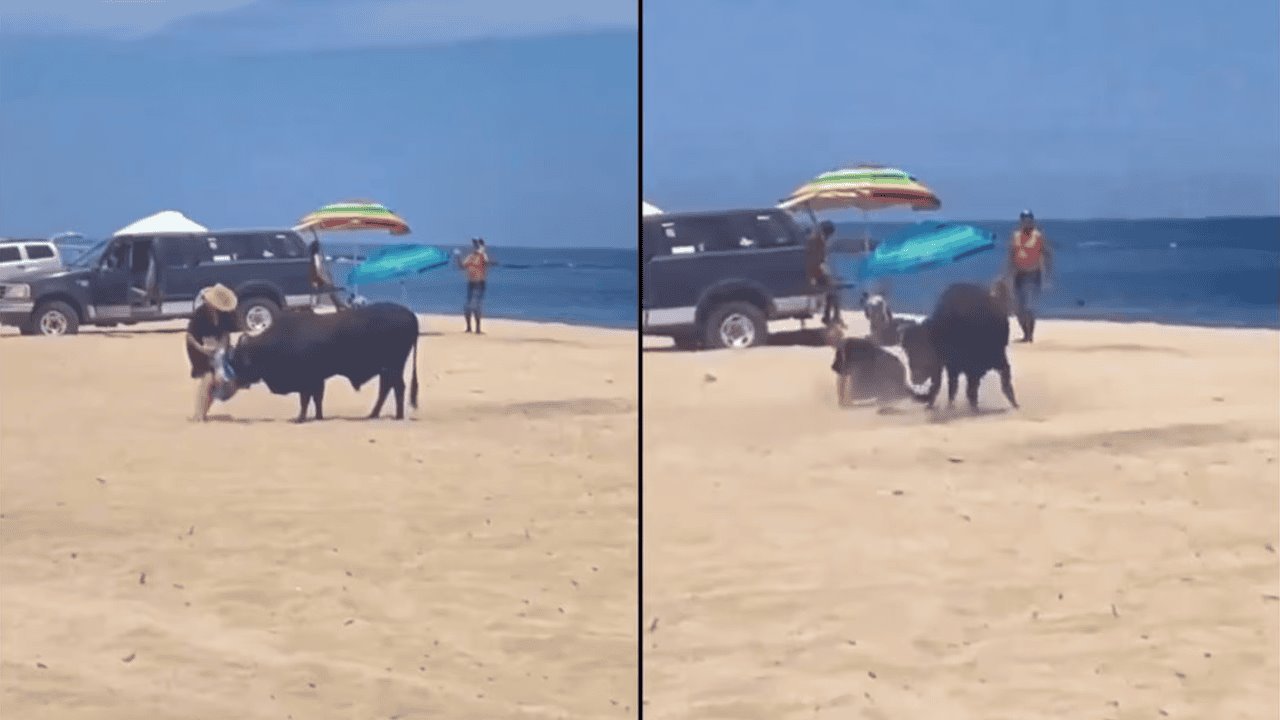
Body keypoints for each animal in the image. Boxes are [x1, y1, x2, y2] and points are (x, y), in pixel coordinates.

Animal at [232, 301, 422, 420]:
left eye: (239, 358)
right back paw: (374, 414)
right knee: (386, 389)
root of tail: (410, 315)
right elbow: (317, 399)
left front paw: (300, 418)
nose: (235, 380)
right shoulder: (317, 380)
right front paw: (318, 416)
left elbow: (305, 399)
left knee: (397, 388)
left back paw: (397, 416)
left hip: (393, 368)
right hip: (388, 370)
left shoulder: (307, 380)